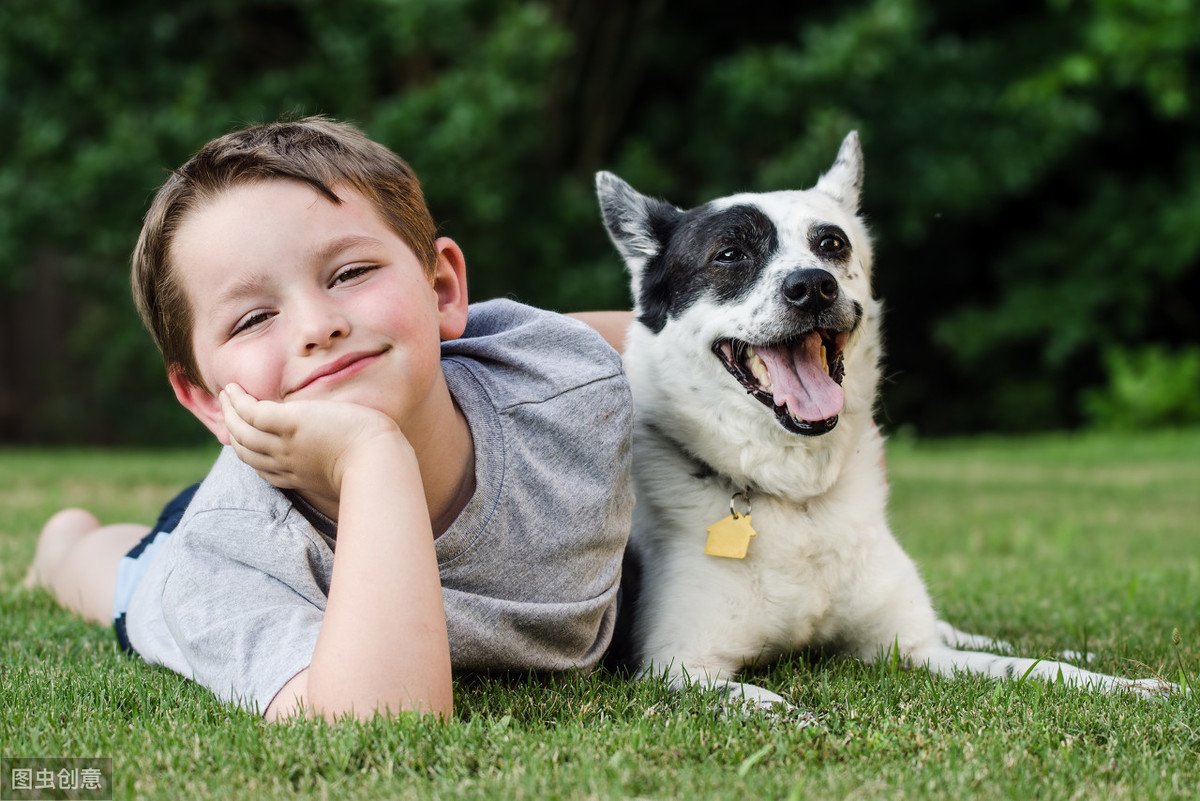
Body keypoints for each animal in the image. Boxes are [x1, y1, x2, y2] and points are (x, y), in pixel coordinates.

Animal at [595, 133, 1176, 714]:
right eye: (730, 254)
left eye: (831, 243)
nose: (813, 287)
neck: (799, 499)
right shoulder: (677, 666)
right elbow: (765, 704)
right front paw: (800, 720)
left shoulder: (913, 649)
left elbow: (1033, 669)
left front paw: (1124, 684)